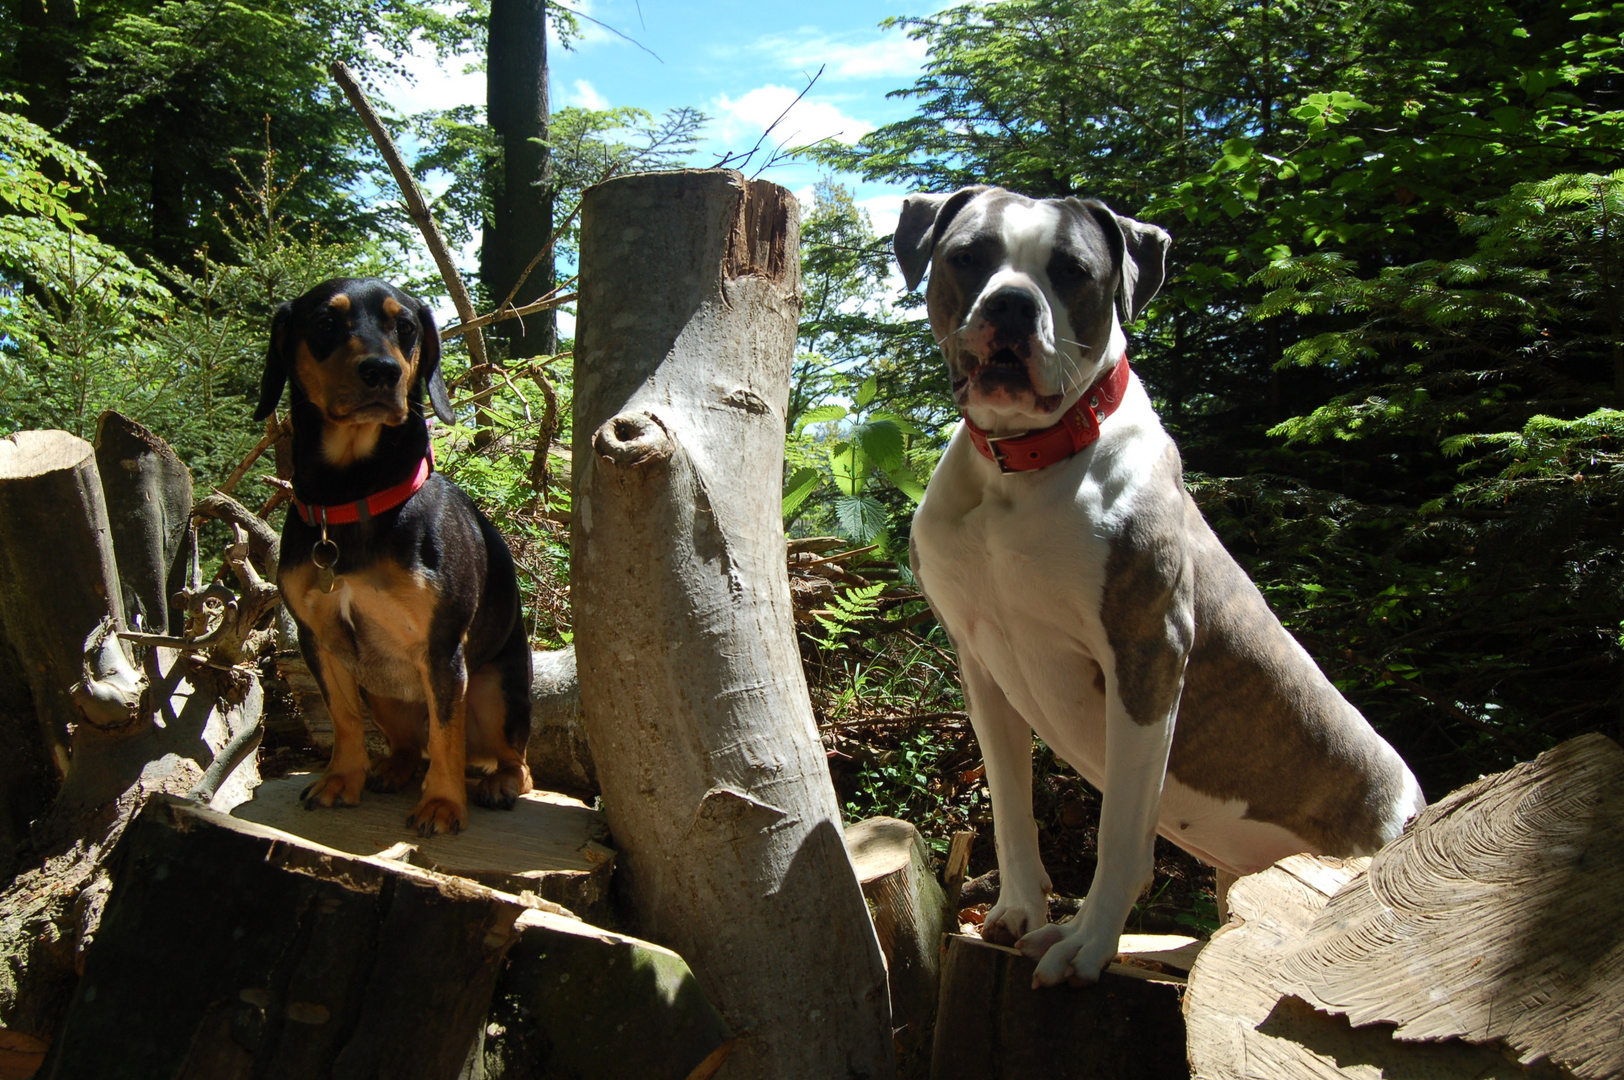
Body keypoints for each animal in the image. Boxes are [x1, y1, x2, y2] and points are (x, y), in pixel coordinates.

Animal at [254, 276, 532, 831]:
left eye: (404, 327)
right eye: (325, 322)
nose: (382, 371)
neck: (354, 497)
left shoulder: (443, 650)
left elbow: (446, 738)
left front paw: (443, 804)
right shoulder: (321, 641)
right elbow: (343, 719)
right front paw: (341, 780)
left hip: (495, 692)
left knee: (512, 759)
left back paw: (497, 783)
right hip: (381, 691)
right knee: (408, 744)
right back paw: (392, 769)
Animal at [902, 187, 1422, 987]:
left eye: (1072, 271)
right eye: (969, 256)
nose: (1013, 304)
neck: (1023, 466)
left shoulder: (1147, 658)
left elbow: (1121, 829)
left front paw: (1088, 943)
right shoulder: (981, 664)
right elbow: (1012, 805)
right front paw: (1020, 911)